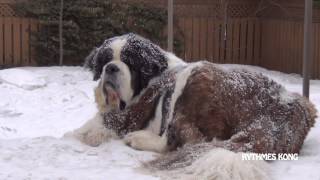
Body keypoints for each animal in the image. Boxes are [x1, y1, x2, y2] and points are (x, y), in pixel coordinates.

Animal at [65, 33, 318, 179]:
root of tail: (279, 108)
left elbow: (93, 126)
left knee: (186, 140)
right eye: (105, 60)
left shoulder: (126, 116)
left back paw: (138, 139)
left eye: (130, 61)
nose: (111, 68)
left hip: (194, 76)